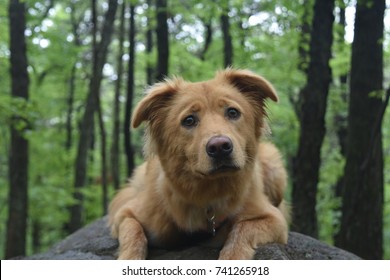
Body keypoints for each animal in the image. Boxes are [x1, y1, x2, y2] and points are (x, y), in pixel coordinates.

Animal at [108, 68, 288, 260]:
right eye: (189, 120)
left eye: (232, 112)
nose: (220, 147)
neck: (208, 194)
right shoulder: (126, 213)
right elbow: (133, 232)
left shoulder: (275, 220)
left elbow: (242, 228)